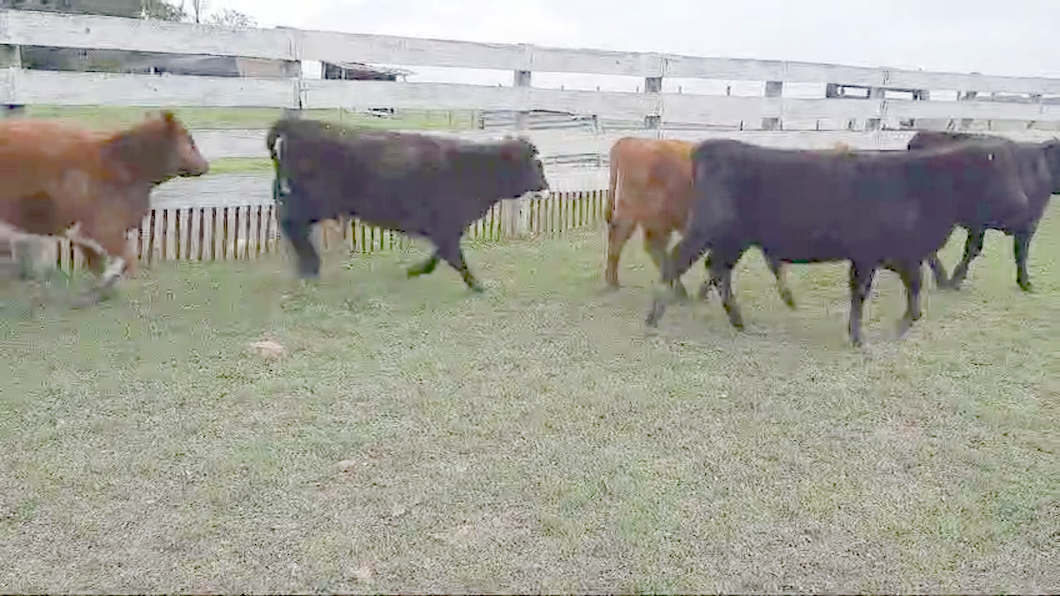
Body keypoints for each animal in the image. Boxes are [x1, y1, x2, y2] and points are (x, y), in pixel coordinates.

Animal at [267, 117, 546, 290]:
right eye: (535, 164)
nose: (545, 187)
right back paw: (310, 266)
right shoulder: (446, 226)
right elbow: (453, 256)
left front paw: (415, 271)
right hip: (315, 202)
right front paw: (477, 286)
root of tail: (299, 124)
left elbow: (441, 255)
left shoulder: (447, 228)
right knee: (291, 223)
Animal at [640, 137, 1030, 345]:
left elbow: (915, 290)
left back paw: (738, 320)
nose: (1024, 204)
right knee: (677, 261)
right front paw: (858, 337)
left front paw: (901, 326)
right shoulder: (868, 254)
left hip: (733, 238)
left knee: (718, 270)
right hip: (706, 228)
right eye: (996, 173)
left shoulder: (903, 255)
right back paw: (653, 317)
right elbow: (861, 293)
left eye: (1016, 170)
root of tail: (711, 147)